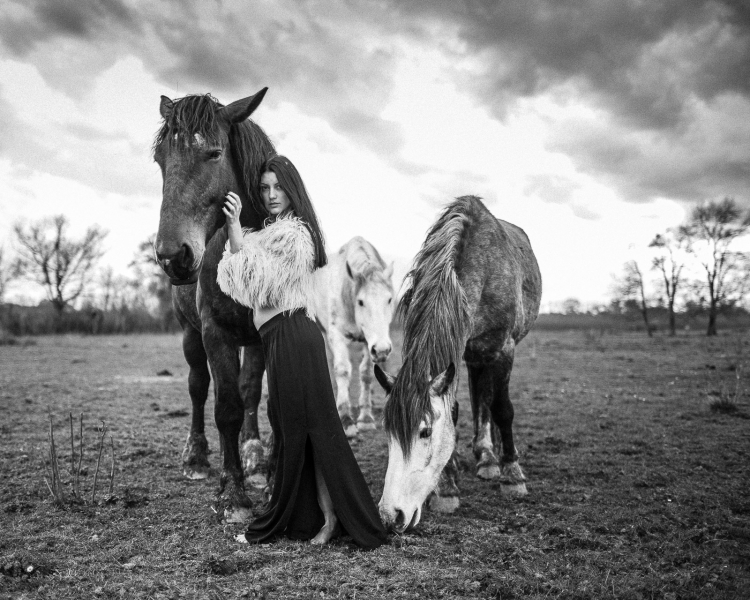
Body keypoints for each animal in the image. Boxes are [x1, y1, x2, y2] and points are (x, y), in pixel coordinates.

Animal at [153, 88, 276, 520]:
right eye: (160, 159)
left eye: (215, 153)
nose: (172, 256)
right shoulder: (214, 332)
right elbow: (225, 407)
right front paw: (233, 494)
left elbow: (252, 395)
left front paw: (257, 466)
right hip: (191, 334)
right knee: (198, 386)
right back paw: (197, 457)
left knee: (249, 388)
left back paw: (253, 455)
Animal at [312, 237, 396, 438]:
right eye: (361, 301)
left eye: (389, 299)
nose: (383, 350)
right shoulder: (337, 336)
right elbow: (342, 370)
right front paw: (346, 420)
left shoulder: (369, 343)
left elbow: (366, 373)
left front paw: (365, 419)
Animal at [374, 195, 540, 532]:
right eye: (388, 433)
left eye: (425, 432)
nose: (389, 516)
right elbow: (458, 408)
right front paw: (447, 487)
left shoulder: (504, 348)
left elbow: (503, 409)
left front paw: (512, 474)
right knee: (479, 396)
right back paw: (485, 455)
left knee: (490, 400)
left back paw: (494, 458)